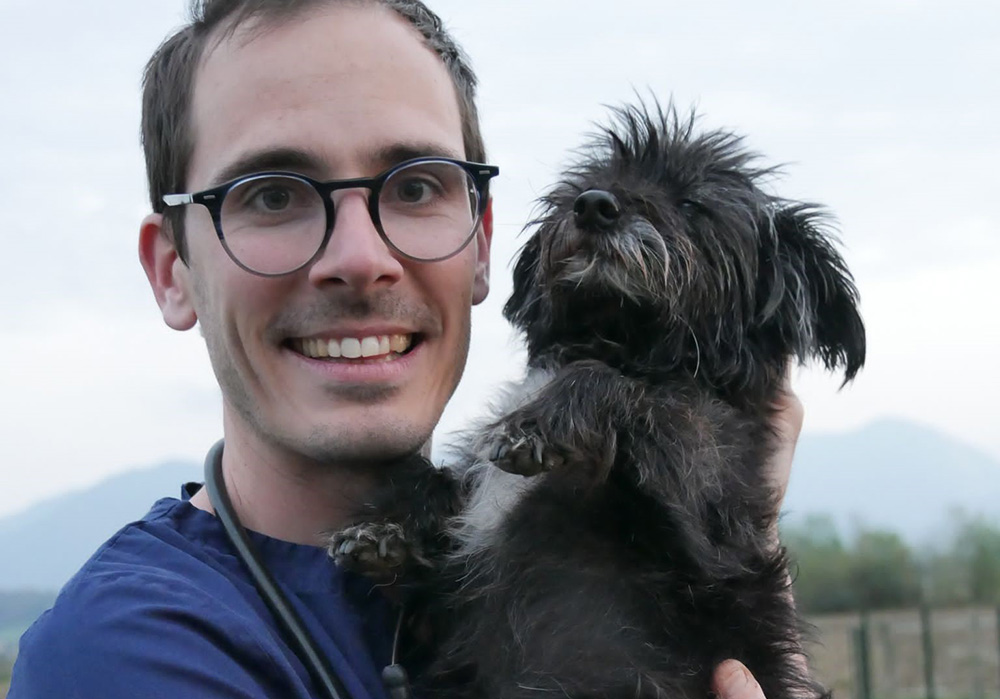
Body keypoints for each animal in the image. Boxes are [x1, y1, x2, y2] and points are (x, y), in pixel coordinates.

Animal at [332, 101, 864, 699]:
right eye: (586, 181)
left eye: (693, 204)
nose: (593, 205)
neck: (617, 339)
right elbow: (441, 481)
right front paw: (387, 526)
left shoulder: (713, 495)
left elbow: (638, 398)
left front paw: (539, 423)